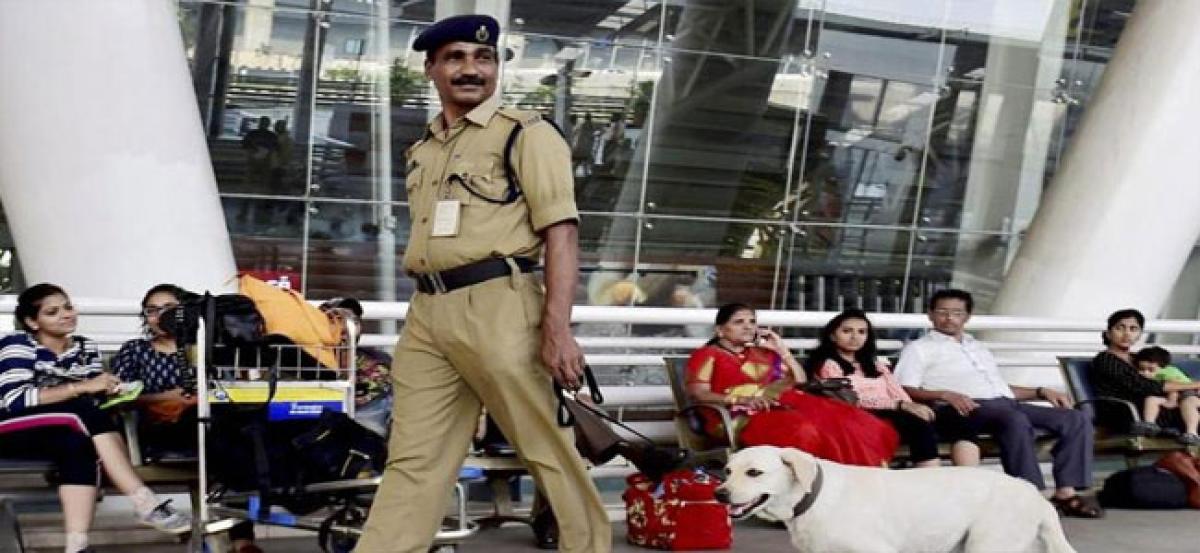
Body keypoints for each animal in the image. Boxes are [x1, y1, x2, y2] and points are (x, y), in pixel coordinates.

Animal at [715, 446, 1075, 549]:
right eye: (728, 471)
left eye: (754, 473)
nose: (719, 493)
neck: (814, 498)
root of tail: (1033, 492)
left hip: (987, 545)